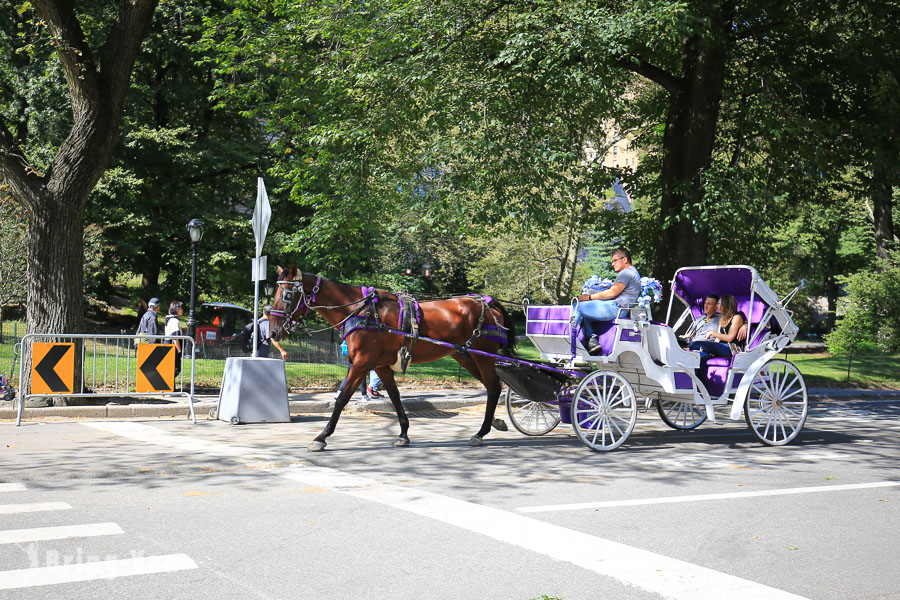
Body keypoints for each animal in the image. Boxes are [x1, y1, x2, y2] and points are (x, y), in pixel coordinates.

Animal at [268, 264, 516, 452]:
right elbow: (396, 397)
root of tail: (487, 302)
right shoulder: (380, 365)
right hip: (465, 356)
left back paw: (480, 432)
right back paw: (491, 424)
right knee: (492, 387)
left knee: (494, 387)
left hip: (482, 356)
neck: (362, 311)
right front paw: (404, 433)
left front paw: (321, 437)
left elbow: (342, 399)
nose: (273, 332)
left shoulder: (362, 363)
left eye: (287, 295)